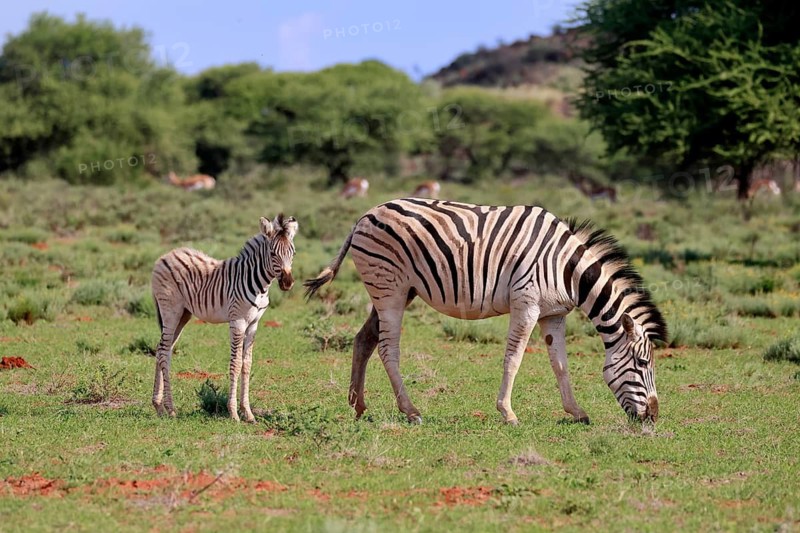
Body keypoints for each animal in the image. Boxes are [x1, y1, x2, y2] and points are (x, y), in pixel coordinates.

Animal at [151, 215, 298, 422]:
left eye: (293, 253)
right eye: (272, 253)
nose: (287, 283)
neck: (260, 286)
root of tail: (167, 255)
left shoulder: (253, 324)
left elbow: (247, 364)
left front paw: (248, 413)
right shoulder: (238, 321)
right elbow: (235, 364)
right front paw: (234, 413)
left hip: (183, 314)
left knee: (163, 349)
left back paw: (159, 406)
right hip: (170, 310)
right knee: (164, 351)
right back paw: (170, 409)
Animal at [305, 199, 667, 425]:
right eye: (643, 363)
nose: (653, 416)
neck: (568, 269)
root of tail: (365, 214)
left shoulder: (553, 314)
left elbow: (560, 365)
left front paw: (576, 412)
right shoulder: (526, 304)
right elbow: (514, 358)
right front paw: (508, 413)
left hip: (398, 291)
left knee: (363, 339)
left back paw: (358, 406)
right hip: (390, 289)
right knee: (387, 348)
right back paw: (411, 411)